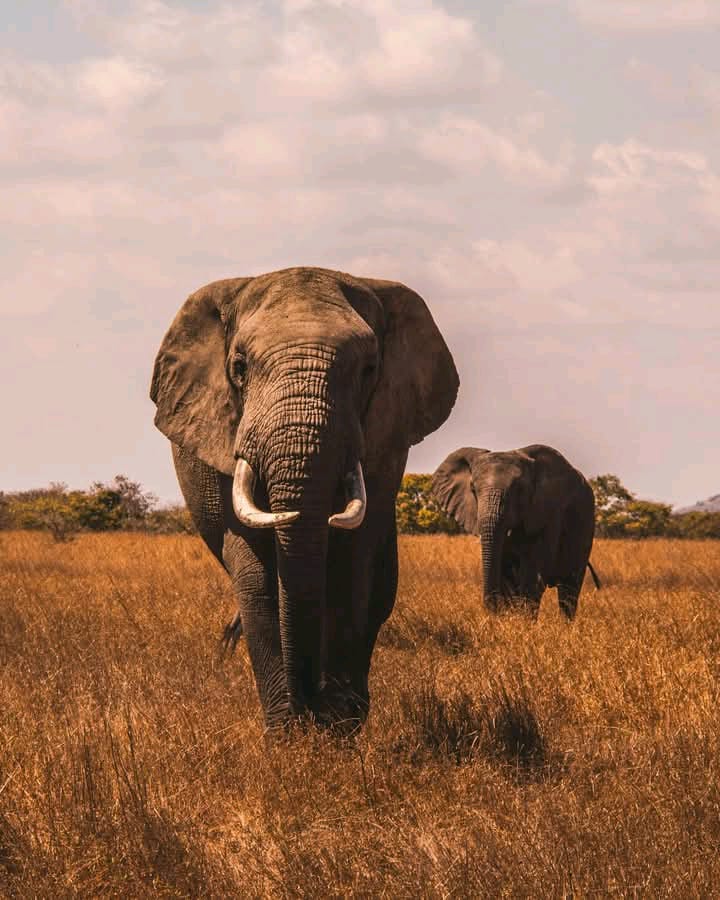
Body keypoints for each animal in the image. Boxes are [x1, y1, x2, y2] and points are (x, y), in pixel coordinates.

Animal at [150, 267, 458, 730]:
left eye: (369, 369)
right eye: (239, 367)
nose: (313, 697)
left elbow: (352, 566)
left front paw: (338, 727)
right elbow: (257, 576)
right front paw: (288, 734)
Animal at [431, 445, 599, 620]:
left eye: (519, 489)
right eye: (473, 489)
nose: (491, 610)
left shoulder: (550, 512)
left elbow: (534, 573)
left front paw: (524, 623)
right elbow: (506, 573)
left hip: (586, 524)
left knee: (569, 588)